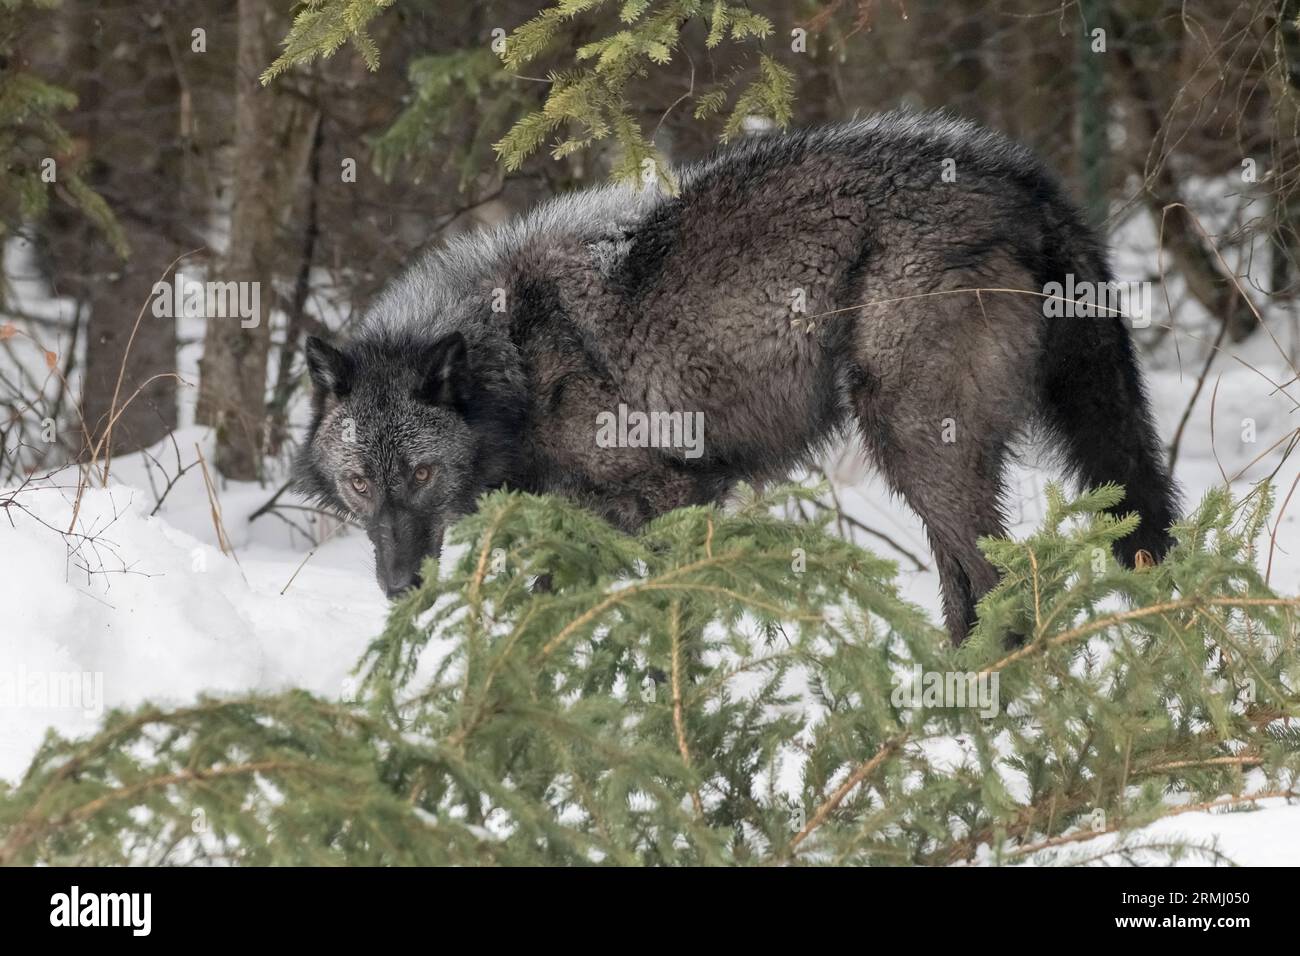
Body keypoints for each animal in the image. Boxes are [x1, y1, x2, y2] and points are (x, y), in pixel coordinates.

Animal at [296, 111, 1180, 643]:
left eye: (420, 473)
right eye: (360, 482)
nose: (401, 587)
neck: (516, 353)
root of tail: (1021, 179)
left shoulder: (671, 495)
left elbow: (641, 609)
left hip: (911, 441)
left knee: (1004, 577)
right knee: (968, 582)